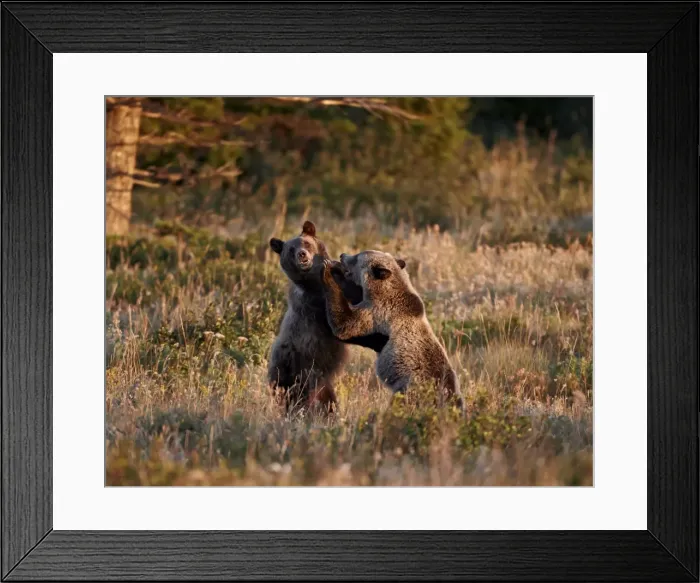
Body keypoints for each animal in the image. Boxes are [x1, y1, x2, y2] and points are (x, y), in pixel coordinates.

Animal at [268, 222, 388, 414]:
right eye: (291, 249)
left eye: (307, 243)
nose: (302, 254)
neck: (314, 283)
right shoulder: (313, 306)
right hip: (292, 368)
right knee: (294, 396)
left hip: (321, 383)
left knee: (328, 402)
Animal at [321, 250, 464, 411]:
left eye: (357, 257)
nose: (343, 255)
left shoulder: (378, 313)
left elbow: (344, 325)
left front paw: (328, 271)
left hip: (408, 388)